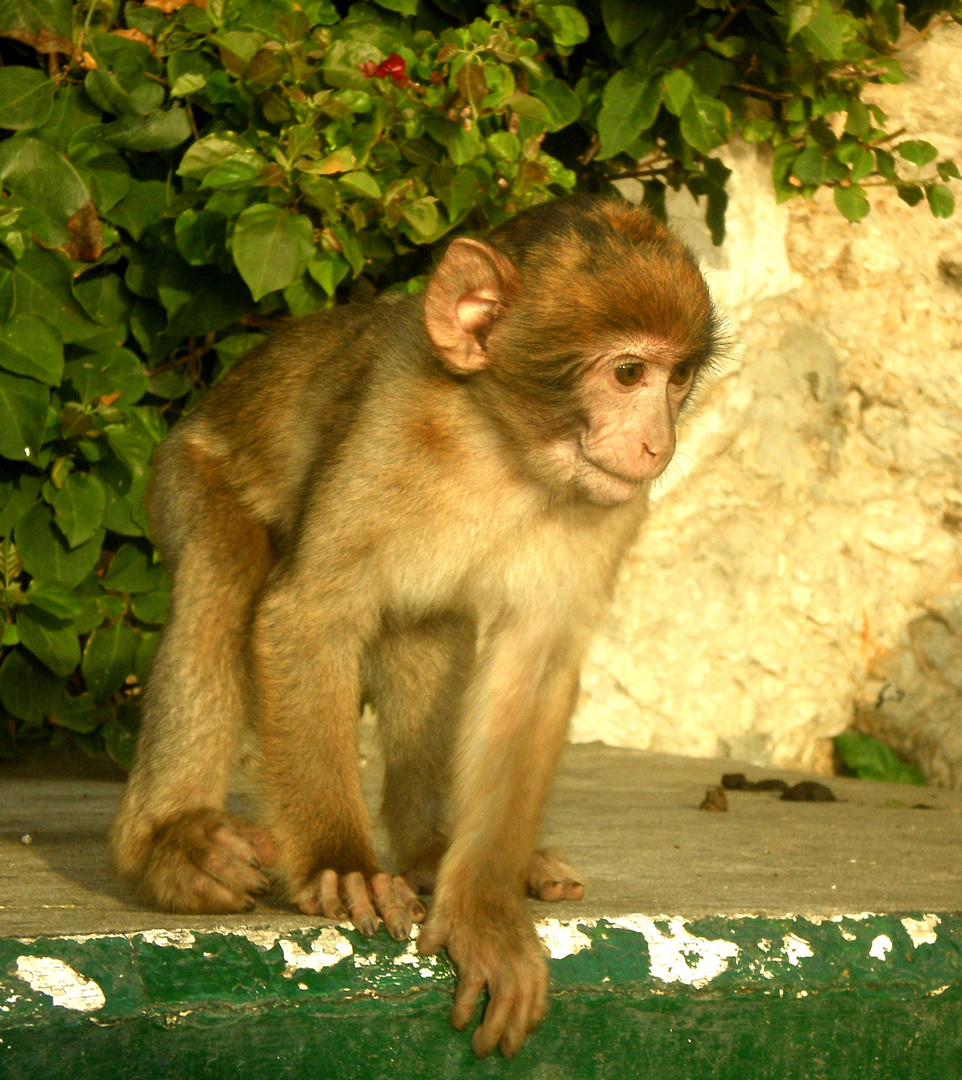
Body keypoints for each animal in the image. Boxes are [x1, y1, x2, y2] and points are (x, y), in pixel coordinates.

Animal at [111, 194, 716, 1054]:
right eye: (628, 373)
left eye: (678, 376)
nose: (657, 442)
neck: (500, 446)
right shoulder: (388, 432)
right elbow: (306, 615)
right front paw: (343, 865)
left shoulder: (607, 504)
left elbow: (532, 666)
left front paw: (484, 907)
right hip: (186, 471)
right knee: (222, 574)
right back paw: (173, 848)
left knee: (429, 631)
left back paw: (433, 854)